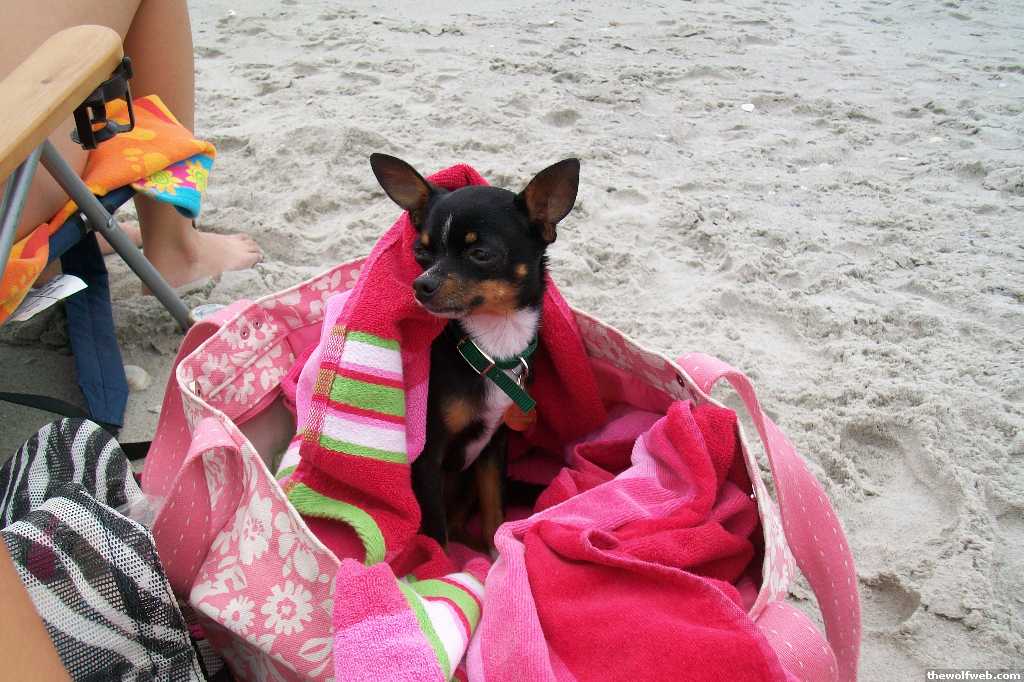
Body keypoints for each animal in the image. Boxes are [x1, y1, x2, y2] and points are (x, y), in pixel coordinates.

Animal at [369, 153, 580, 552]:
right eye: (420, 252)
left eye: (480, 254)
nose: (421, 285)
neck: (493, 346)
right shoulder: (427, 457)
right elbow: (437, 533)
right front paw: (441, 564)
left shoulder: (493, 446)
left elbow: (494, 510)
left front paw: (499, 553)